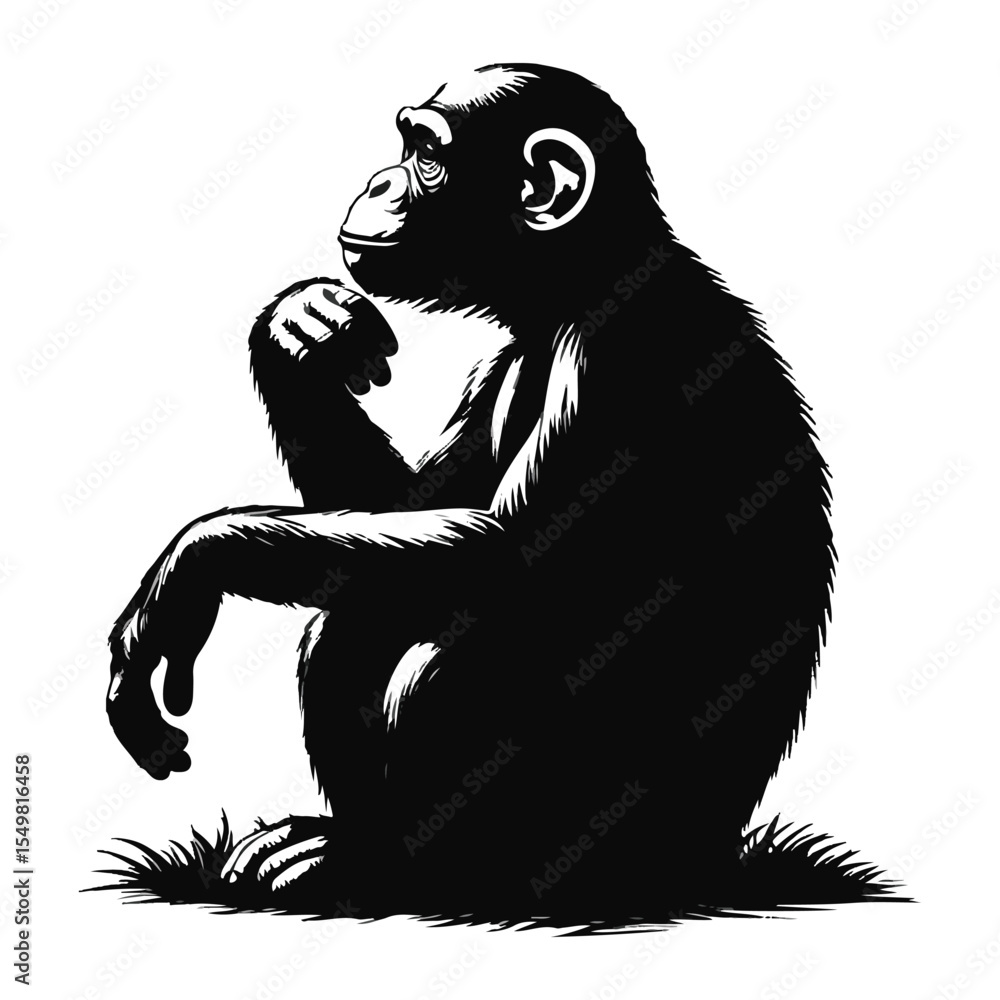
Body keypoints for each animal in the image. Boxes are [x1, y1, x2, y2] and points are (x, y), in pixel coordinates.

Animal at [106, 64, 833, 917]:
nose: (378, 179)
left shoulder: (614, 358)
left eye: (424, 153)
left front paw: (194, 563)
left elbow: (509, 555)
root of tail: (692, 863)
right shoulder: (502, 368)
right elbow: (408, 511)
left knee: (450, 647)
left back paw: (395, 868)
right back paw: (335, 846)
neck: (570, 286)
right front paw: (297, 329)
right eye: (404, 145)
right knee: (356, 617)